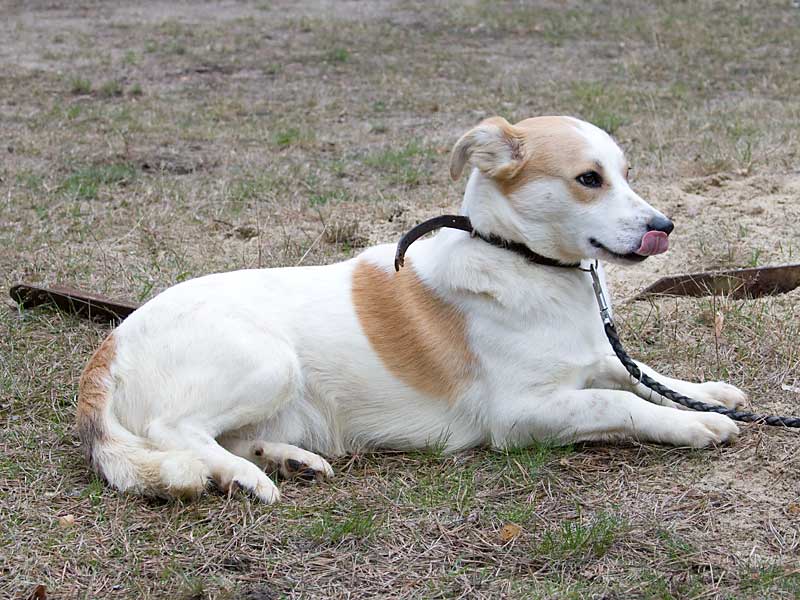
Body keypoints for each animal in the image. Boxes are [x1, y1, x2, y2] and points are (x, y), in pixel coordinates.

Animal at [77, 115, 746, 503]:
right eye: (589, 179)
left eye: (626, 174)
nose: (665, 227)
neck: (523, 262)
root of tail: (112, 345)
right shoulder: (520, 414)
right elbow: (620, 401)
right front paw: (693, 426)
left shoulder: (594, 355)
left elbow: (646, 376)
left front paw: (706, 395)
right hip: (268, 362)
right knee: (175, 431)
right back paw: (245, 477)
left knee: (228, 437)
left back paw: (286, 460)